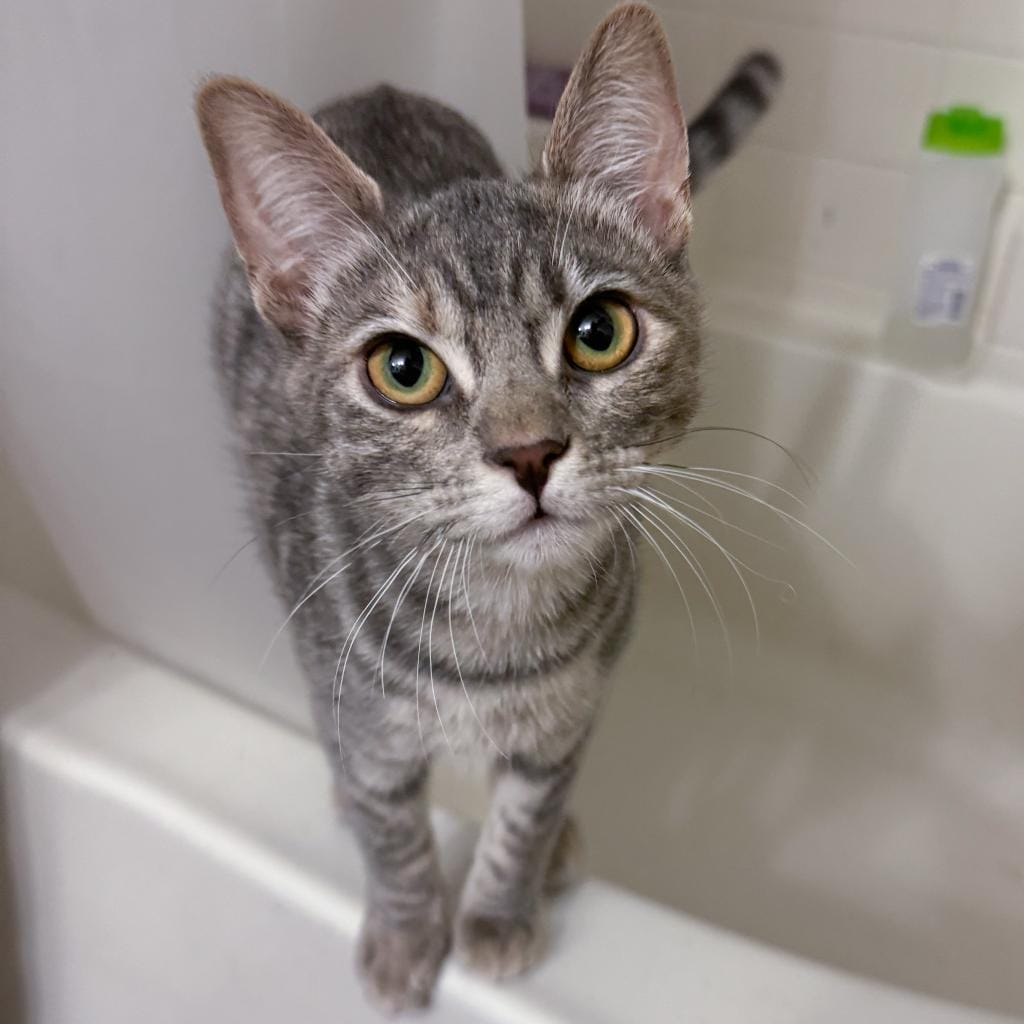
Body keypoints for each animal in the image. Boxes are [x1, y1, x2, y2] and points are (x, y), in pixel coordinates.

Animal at [195, 2, 778, 1015]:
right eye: (402, 368)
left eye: (599, 332)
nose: (529, 452)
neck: (498, 626)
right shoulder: (366, 714)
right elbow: (395, 836)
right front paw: (406, 933)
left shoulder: (572, 714)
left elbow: (525, 814)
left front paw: (502, 909)